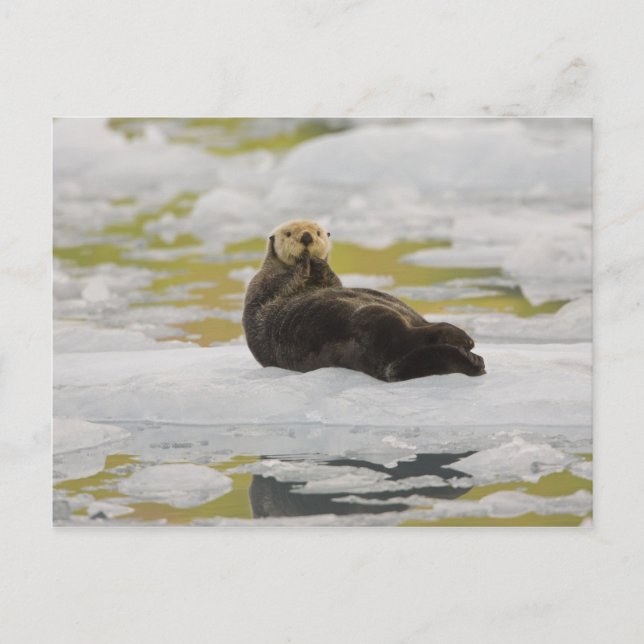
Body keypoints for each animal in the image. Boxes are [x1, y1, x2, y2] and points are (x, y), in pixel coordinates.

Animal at [242, 219, 485, 382]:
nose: (306, 237)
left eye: (317, 232)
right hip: (373, 321)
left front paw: (319, 263)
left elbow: (332, 280)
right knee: (410, 337)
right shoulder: (264, 284)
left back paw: (467, 347)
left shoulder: (331, 283)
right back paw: (467, 348)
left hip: (402, 315)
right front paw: (304, 262)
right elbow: (281, 285)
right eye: (289, 233)